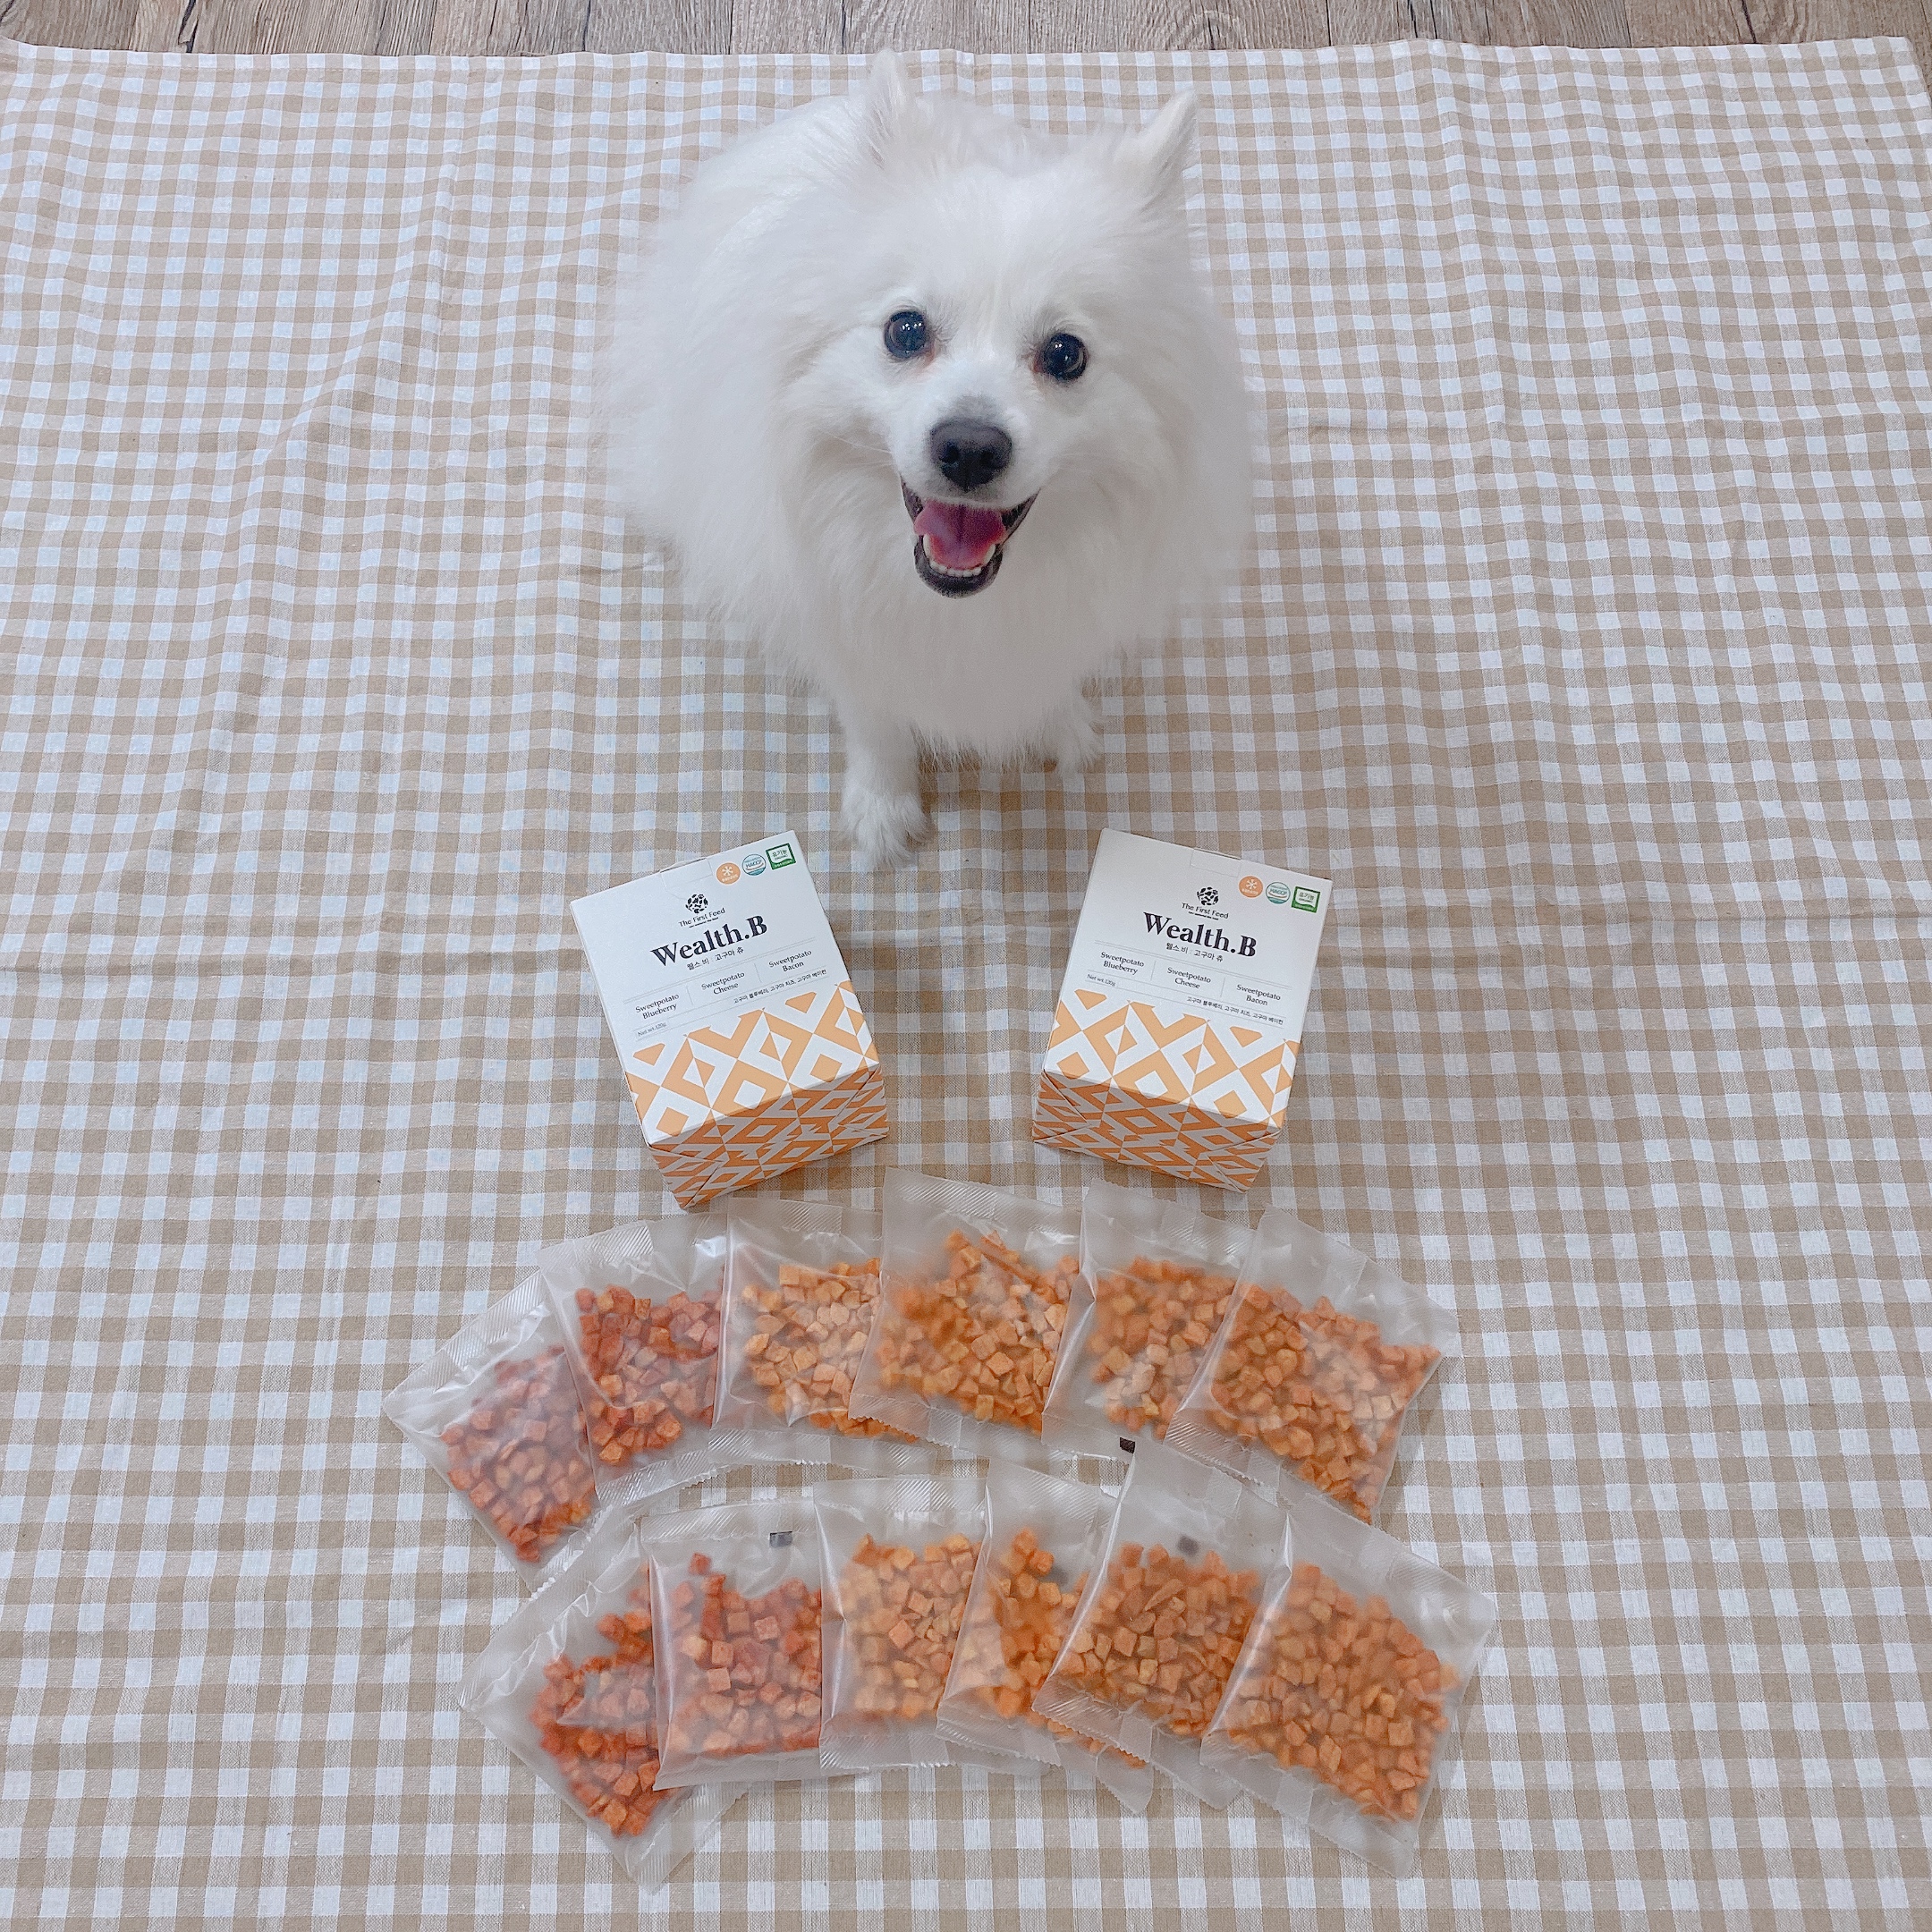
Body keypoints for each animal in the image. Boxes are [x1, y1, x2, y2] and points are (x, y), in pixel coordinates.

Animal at [602, 53, 1251, 869]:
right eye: (905, 331)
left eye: (1065, 354)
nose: (969, 446)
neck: (957, 608)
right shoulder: (844, 625)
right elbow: (876, 720)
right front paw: (883, 809)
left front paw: (1057, 725)